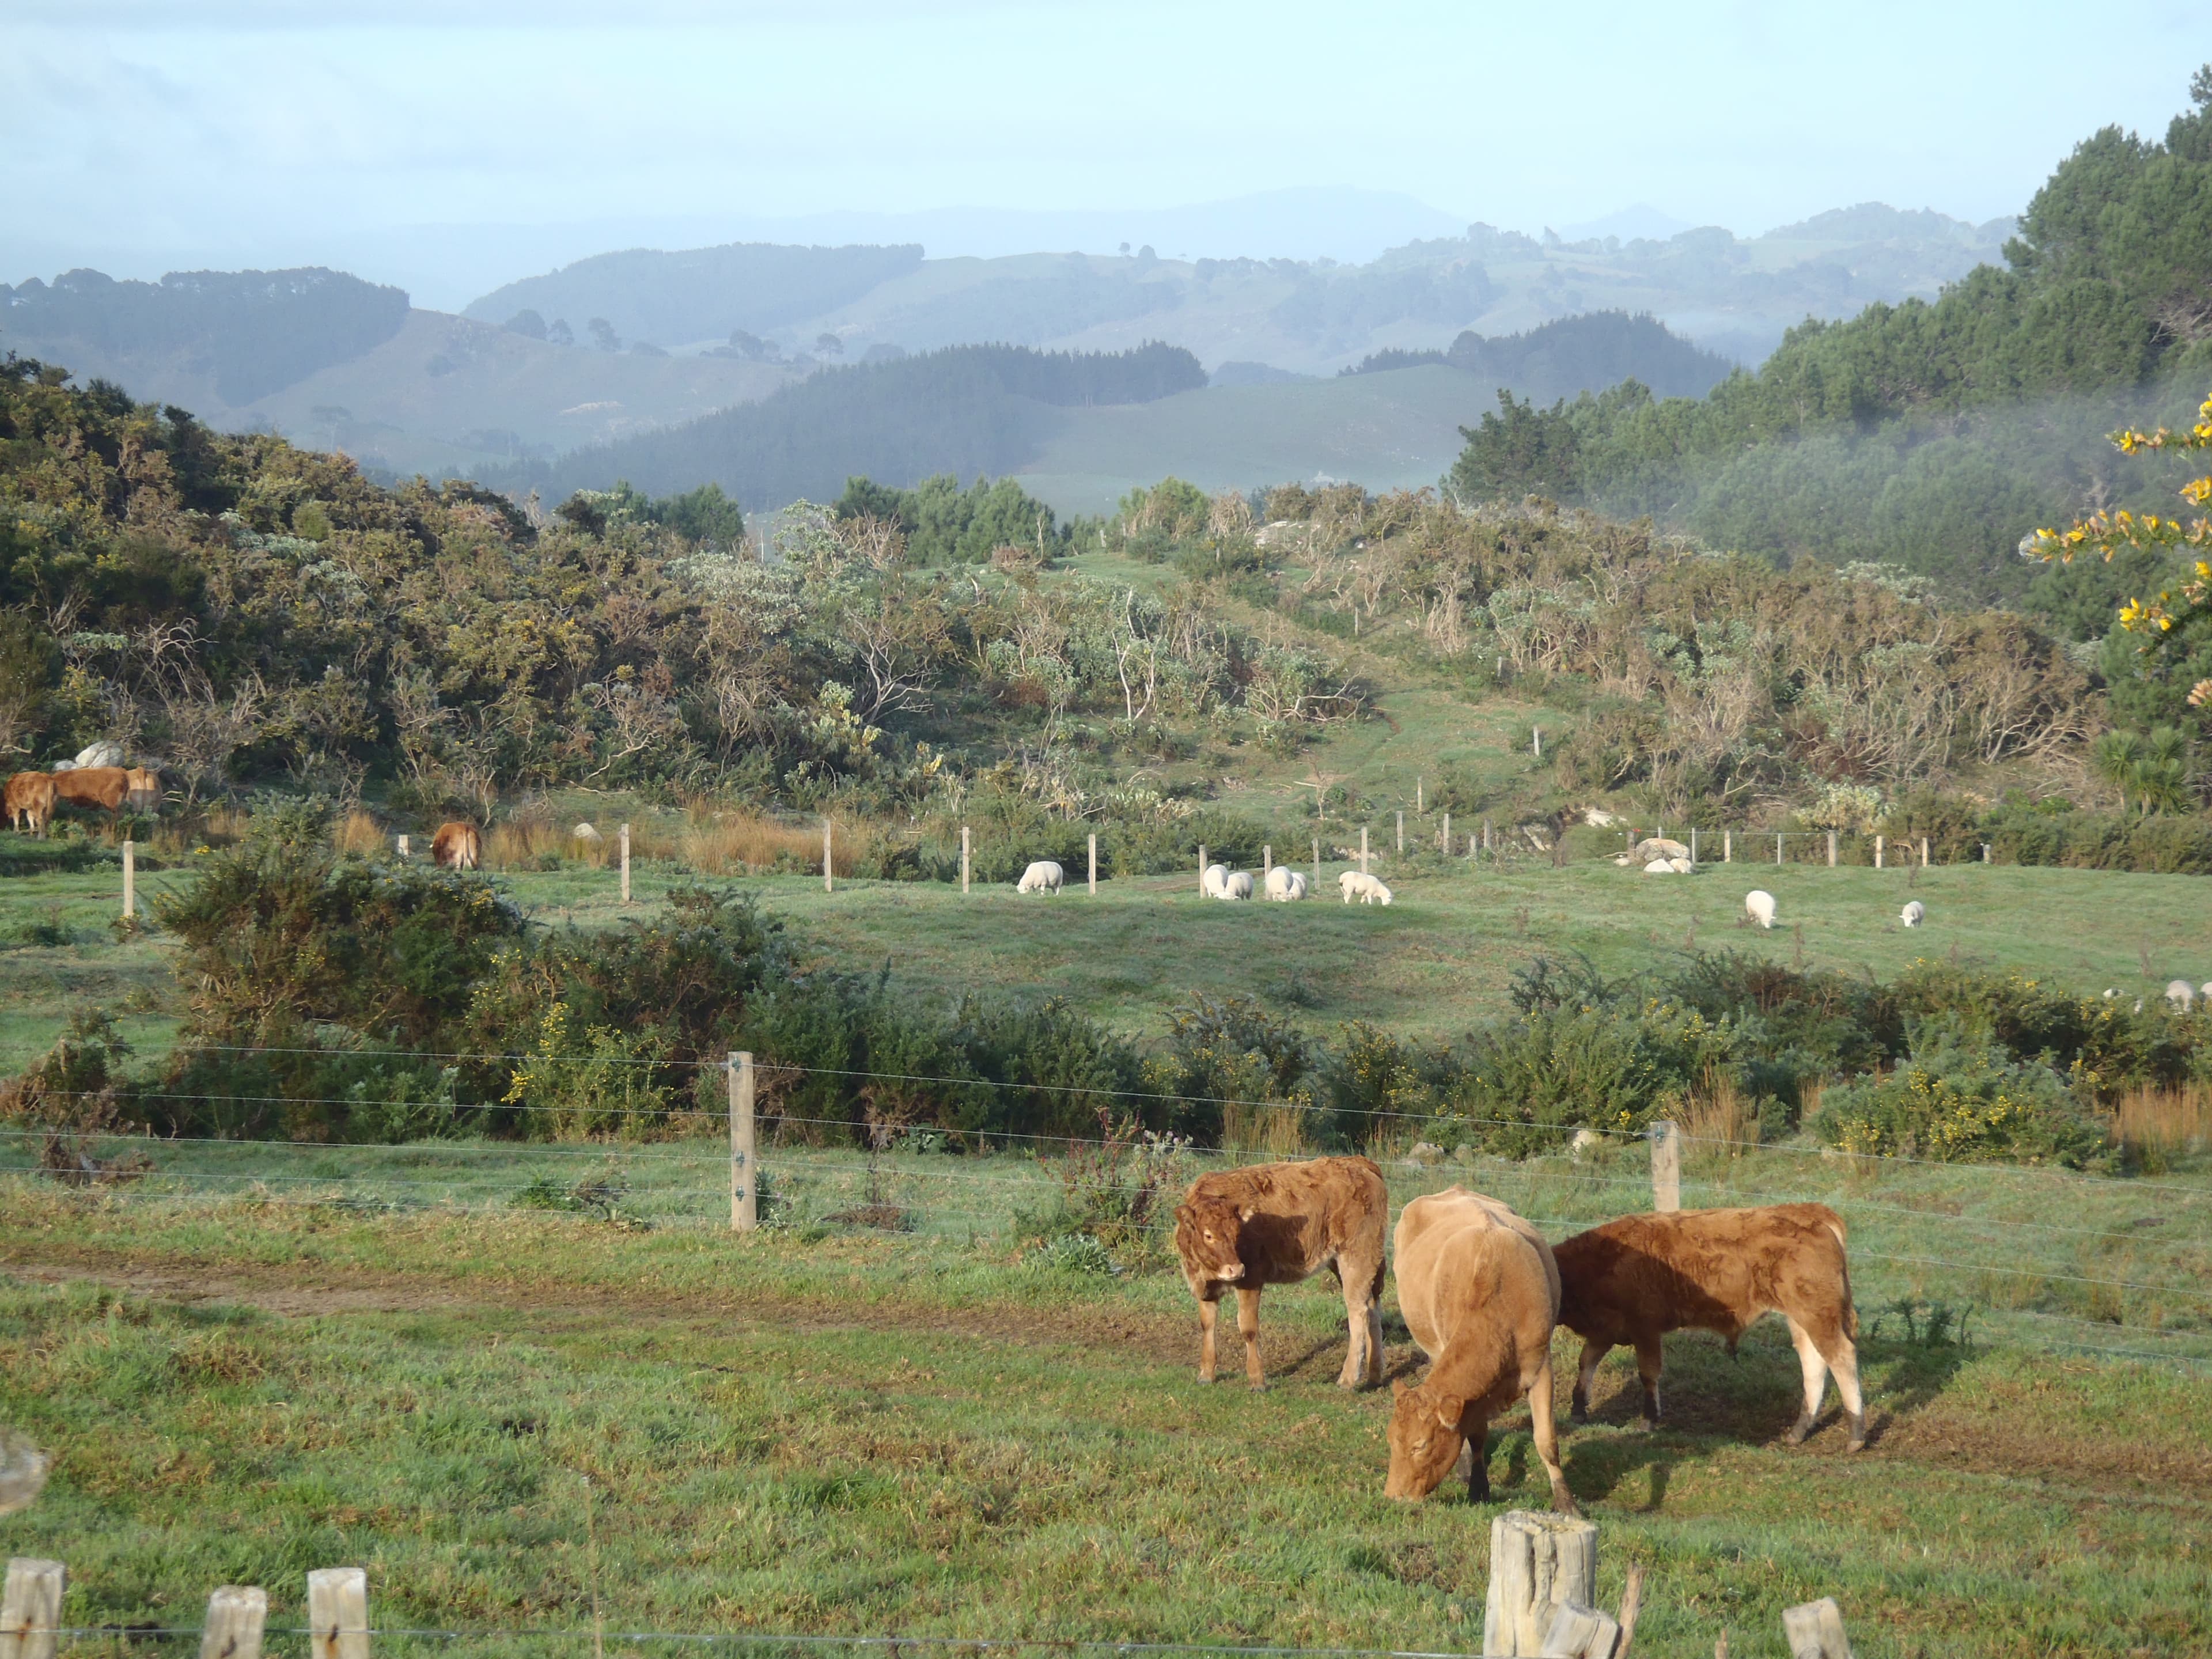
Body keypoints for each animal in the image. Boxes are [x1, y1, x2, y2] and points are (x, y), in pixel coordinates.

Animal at [1172, 1156, 1387, 1391]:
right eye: (1208, 1235)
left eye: (1238, 1234)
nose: (1235, 1269)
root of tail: (1358, 1162)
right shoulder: (1204, 1286)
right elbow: (1208, 1325)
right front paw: (1206, 1375)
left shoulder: (1251, 1278)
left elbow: (1248, 1328)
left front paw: (1257, 1380)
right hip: (1349, 1262)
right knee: (1372, 1307)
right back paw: (1375, 1375)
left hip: (1357, 1256)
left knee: (1358, 1311)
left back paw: (1347, 1379)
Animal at [1385, 1188, 1576, 1513]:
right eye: (1391, 1440)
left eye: (1420, 1445)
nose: (1392, 1496)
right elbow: (1476, 1435)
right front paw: (1478, 1487)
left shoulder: (1541, 1368)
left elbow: (1546, 1440)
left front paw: (1566, 1503)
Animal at [1552, 1203, 1865, 1451]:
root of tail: (1810, 1211)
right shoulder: (1606, 1330)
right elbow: (1586, 1363)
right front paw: (1578, 1410)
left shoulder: (1645, 1328)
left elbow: (1648, 1374)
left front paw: (1648, 1421)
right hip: (1802, 1317)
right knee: (1814, 1363)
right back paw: (1799, 1431)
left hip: (1818, 1315)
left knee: (1841, 1357)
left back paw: (1856, 1434)